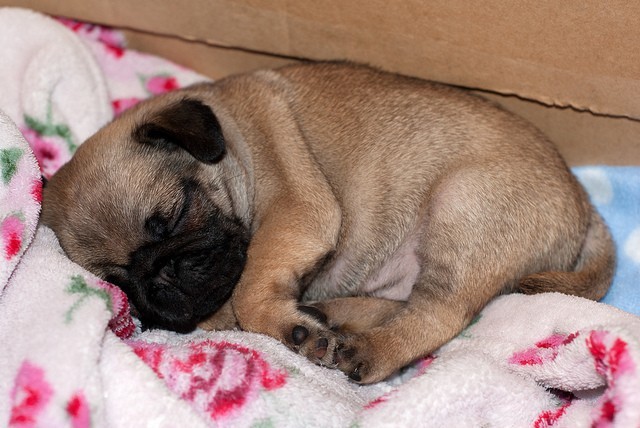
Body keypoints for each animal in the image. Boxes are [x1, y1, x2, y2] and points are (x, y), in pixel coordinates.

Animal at [40, 61, 616, 384]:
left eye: (177, 215)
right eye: (118, 282)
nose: (158, 279)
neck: (232, 142)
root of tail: (583, 203)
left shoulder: (296, 212)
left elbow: (250, 290)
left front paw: (288, 330)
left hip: (464, 208)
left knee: (440, 314)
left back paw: (366, 348)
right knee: (405, 304)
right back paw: (330, 314)